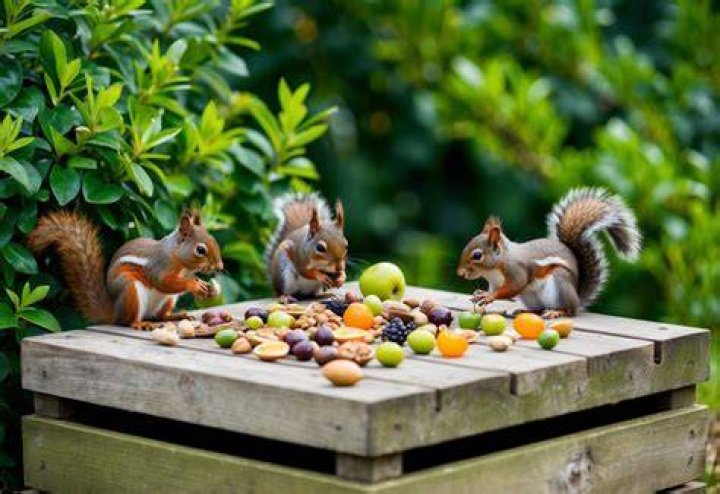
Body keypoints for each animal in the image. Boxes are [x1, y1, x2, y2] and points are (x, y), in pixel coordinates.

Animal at [28, 210, 223, 330]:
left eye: (214, 239)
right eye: (200, 250)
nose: (220, 267)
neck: (180, 260)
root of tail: (114, 311)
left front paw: (206, 287)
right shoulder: (160, 266)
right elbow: (163, 282)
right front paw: (194, 285)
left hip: (168, 300)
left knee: (159, 316)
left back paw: (175, 316)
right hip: (130, 291)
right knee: (128, 320)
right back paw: (139, 324)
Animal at [456, 187, 641, 318]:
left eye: (477, 255)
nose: (460, 273)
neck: (494, 268)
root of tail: (577, 298)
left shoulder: (516, 271)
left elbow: (514, 286)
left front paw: (489, 296)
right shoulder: (494, 282)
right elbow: (493, 289)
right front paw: (480, 293)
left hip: (560, 284)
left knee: (569, 310)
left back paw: (557, 312)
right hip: (530, 296)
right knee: (539, 309)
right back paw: (526, 311)